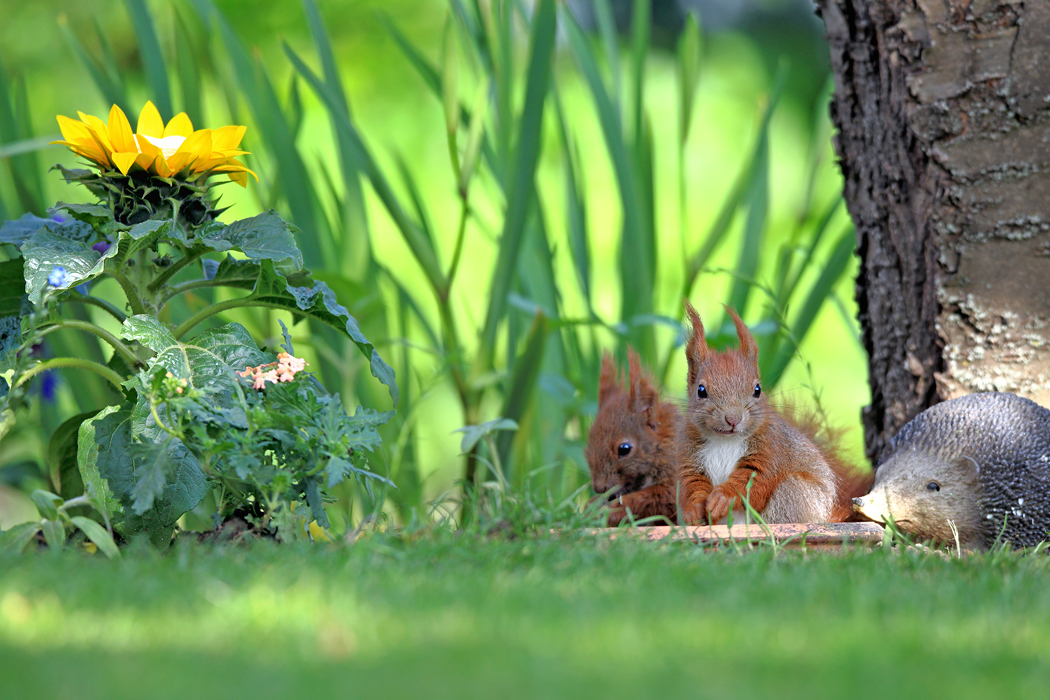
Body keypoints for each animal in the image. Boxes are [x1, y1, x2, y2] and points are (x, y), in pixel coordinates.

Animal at [672, 302, 869, 524]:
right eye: (701, 391)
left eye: (757, 389)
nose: (733, 419)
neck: (724, 441)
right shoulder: (688, 457)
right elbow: (693, 486)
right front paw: (694, 513)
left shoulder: (771, 451)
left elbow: (752, 482)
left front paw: (722, 498)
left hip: (794, 494)